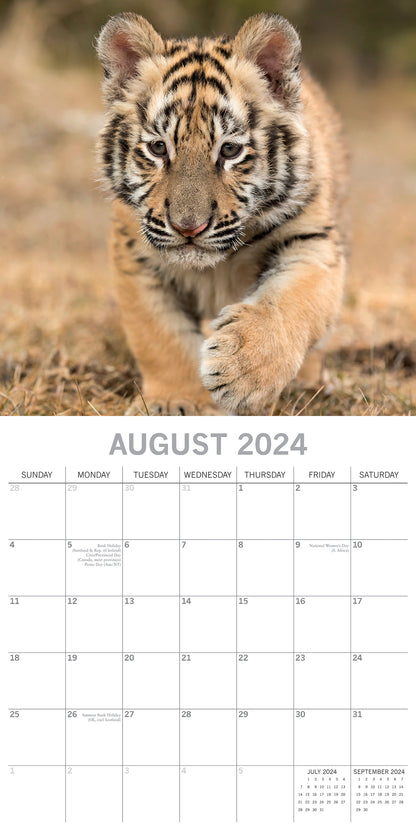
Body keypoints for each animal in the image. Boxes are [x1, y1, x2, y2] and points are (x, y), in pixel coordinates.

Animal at [96, 11, 348, 415]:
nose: (189, 227)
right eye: (157, 148)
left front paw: (243, 371)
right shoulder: (136, 257)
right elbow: (158, 334)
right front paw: (175, 401)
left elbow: (291, 305)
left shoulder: (312, 241)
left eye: (229, 150)